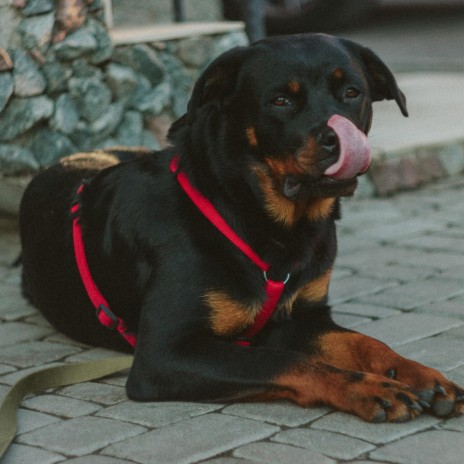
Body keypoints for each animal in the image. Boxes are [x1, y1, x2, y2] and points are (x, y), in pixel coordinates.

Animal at [20, 34, 464, 422]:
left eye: (352, 93)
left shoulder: (305, 317)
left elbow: (364, 341)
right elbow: (285, 360)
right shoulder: (164, 354)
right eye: (280, 100)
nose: (336, 139)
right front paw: (368, 388)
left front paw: (419, 374)